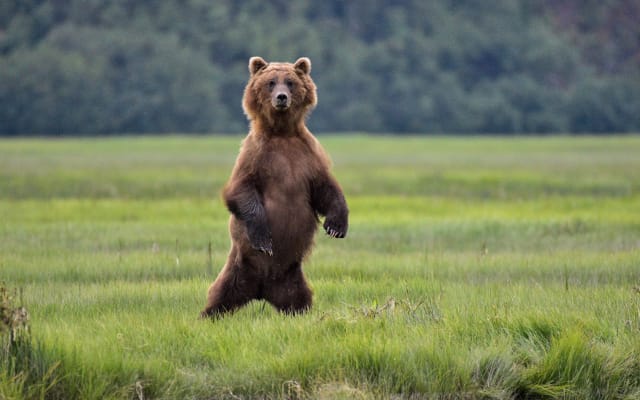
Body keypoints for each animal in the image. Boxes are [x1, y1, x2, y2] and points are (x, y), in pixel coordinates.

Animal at [200, 57, 349, 318]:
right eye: (270, 82)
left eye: (290, 82)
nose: (281, 97)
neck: (281, 133)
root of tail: (261, 289)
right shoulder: (255, 155)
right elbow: (241, 190)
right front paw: (263, 239)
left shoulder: (308, 155)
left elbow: (325, 188)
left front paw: (336, 226)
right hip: (239, 266)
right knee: (221, 294)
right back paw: (207, 314)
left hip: (291, 276)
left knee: (299, 298)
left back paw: (301, 313)